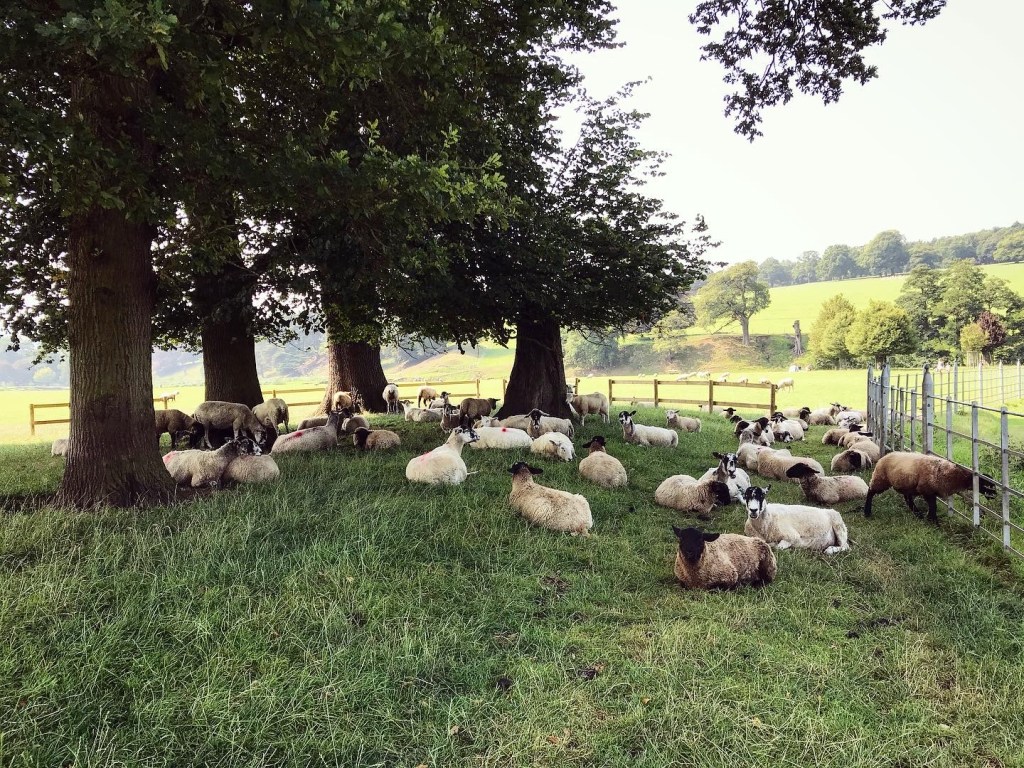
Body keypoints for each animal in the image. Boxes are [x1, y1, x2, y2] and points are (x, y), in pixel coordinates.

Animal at [863, 452, 998, 522]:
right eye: (987, 485)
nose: (995, 496)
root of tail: (884, 456)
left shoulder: (930, 491)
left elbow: (933, 506)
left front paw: (930, 519)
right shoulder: (926, 490)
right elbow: (933, 507)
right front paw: (934, 521)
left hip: (907, 484)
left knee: (908, 499)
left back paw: (917, 513)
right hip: (881, 478)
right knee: (870, 491)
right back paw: (867, 512)